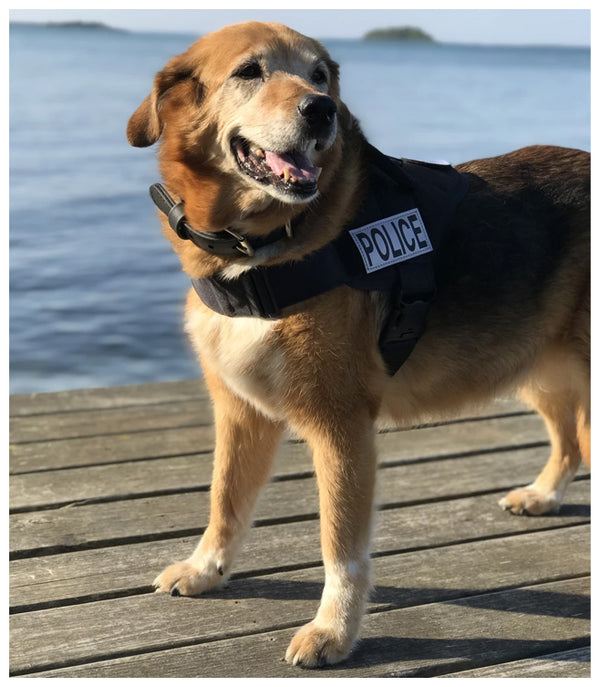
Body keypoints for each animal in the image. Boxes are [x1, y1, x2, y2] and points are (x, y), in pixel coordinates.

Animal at [127, 22, 592, 672]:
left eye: (321, 75)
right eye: (249, 71)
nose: (320, 110)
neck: (258, 252)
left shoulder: (340, 426)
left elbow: (340, 545)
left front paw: (334, 631)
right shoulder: (240, 413)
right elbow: (225, 500)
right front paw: (206, 569)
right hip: (539, 369)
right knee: (570, 443)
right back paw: (545, 495)